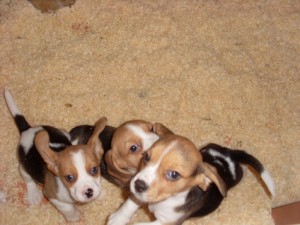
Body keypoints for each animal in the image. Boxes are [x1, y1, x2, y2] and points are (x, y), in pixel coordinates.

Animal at [4, 89, 106, 221]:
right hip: (24, 166)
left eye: (94, 169)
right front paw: (74, 217)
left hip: (62, 132)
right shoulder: (52, 196)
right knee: (27, 178)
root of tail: (28, 129)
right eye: (69, 177)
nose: (89, 192)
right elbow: (67, 208)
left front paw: (100, 193)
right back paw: (33, 195)